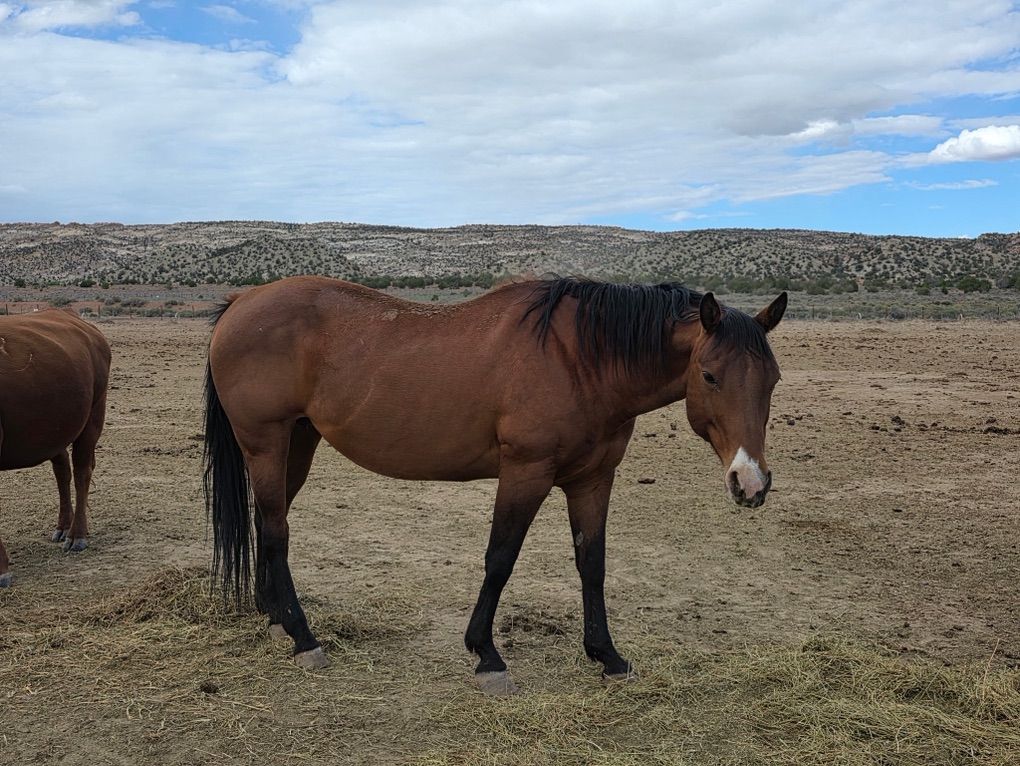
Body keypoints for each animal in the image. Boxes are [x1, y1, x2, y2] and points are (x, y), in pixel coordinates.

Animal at [0, 309, 111, 587]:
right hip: (55, 431)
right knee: (63, 473)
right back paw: (63, 526)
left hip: (93, 417)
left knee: (82, 472)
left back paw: (77, 534)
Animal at [204, 275, 786, 694]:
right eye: (710, 375)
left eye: (773, 379)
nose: (750, 481)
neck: (583, 359)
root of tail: (240, 302)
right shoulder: (525, 472)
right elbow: (500, 559)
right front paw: (486, 656)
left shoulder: (592, 480)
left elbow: (591, 564)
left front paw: (607, 656)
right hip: (266, 444)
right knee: (276, 532)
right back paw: (304, 639)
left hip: (296, 444)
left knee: (267, 523)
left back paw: (276, 620)